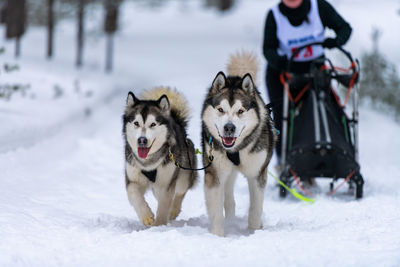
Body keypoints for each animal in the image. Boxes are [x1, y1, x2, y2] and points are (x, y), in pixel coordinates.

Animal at [122, 87, 197, 226]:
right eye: (136, 123)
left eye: (153, 124)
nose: (142, 140)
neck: (148, 162)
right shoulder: (132, 178)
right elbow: (133, 194)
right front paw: (146, 216)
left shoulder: (166, 183)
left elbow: (164, 205)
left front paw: (159, 225)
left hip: (184, 174)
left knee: (180, 192)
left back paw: (173, 210)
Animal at [202, 50, 276, 237]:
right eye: (221, 110)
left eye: (240, 111)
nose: (229, 127)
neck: (237, 150)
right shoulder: (214, 173)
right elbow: (216, 209)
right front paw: (217, 235)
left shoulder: (257, 173)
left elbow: (256, 208)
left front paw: (254, 231)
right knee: (228, 196)